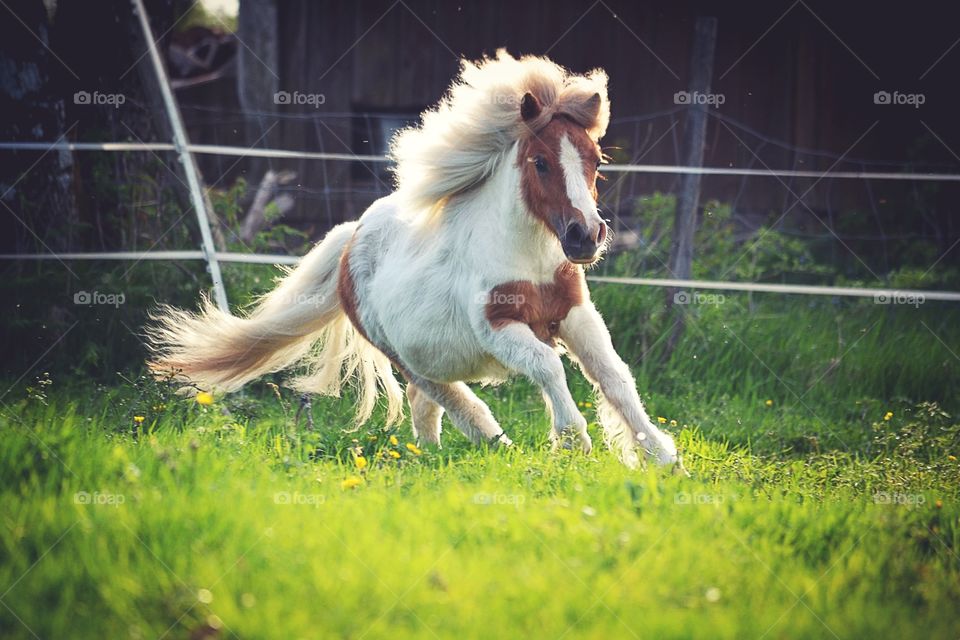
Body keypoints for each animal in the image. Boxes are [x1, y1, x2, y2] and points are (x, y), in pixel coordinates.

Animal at [146, 50, 680, 468]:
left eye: (595, 160)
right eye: (541, 162)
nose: (584, 237)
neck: (526, 256)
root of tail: (352, 237)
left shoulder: (573, 313)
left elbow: (614, 375)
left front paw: (662, 457)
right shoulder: (500, 327)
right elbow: (550, 368)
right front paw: (573, 444)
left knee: (428, 406)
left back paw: (432, 458)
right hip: (402, 355)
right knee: (453, 402)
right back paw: (495, 449)